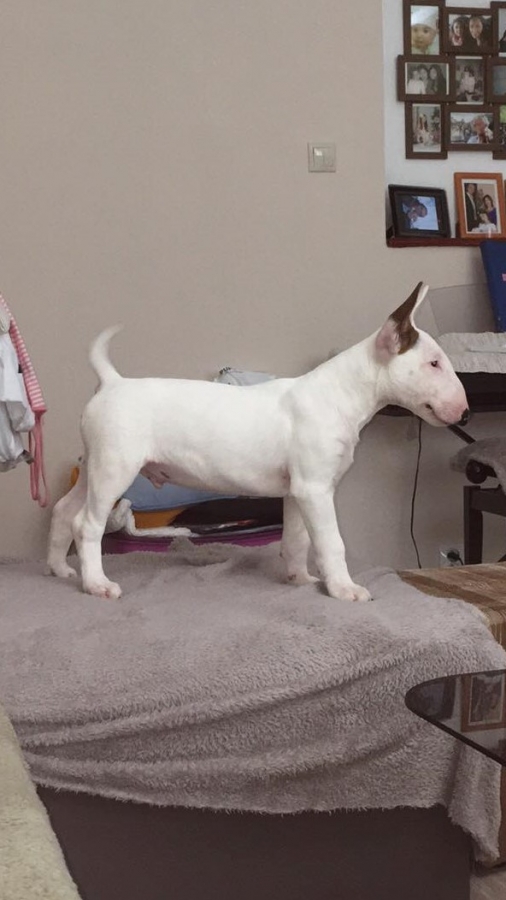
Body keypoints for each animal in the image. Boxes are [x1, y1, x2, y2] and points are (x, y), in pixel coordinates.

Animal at [47, 282, 468, 601]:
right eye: (434, 363)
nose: (464, 413)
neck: (340, 393)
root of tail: (113, 382)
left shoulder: (298, 491)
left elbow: (297, 539)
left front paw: (301, 580)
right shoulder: (316, 489)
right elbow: (331, 542)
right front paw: (344, 589)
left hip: (95, 466)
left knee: (64, 510)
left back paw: (60, 569)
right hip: (115, 468)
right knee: (87, 523)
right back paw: (97, 584)